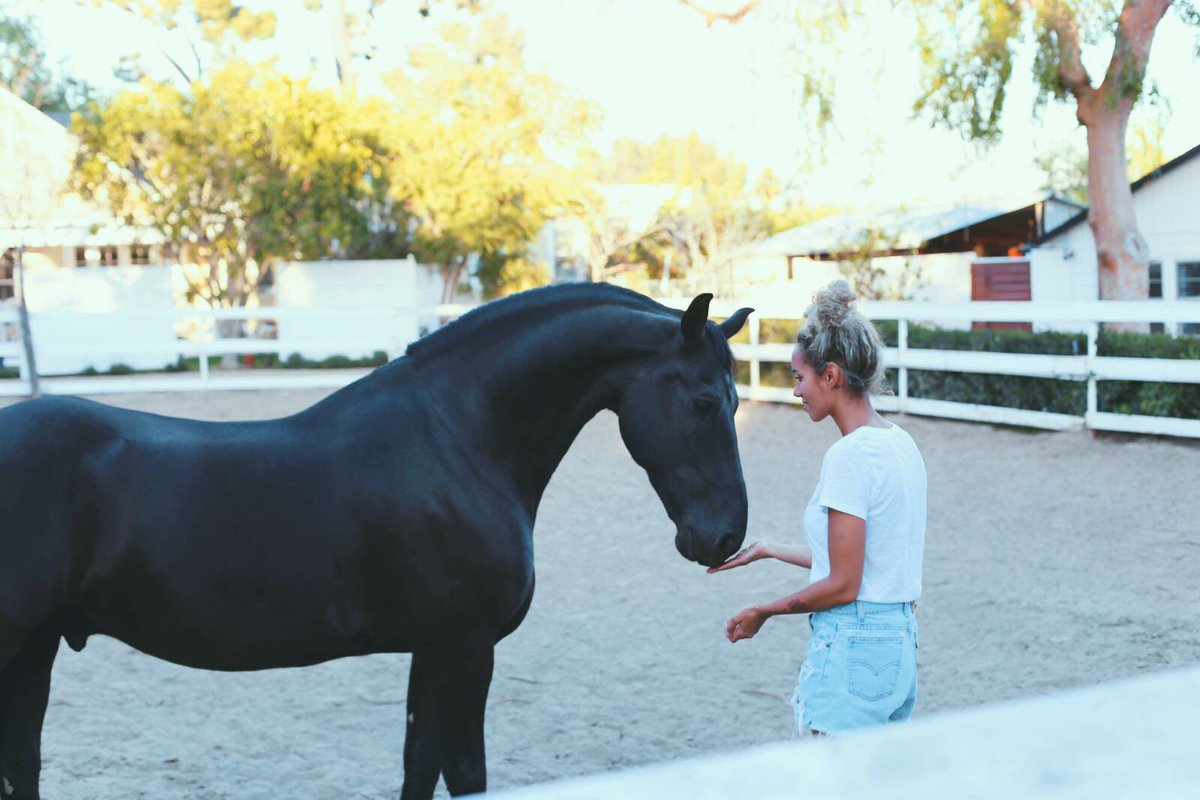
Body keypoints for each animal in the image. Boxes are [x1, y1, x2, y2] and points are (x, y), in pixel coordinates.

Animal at [0, 284, 748, 796]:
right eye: (705, 401)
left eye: (738, 401)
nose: (724, 536)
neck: (458, 437)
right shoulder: (465, 646)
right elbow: (465, 773)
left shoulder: (432, 648)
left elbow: (419, 767)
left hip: (35, 650)